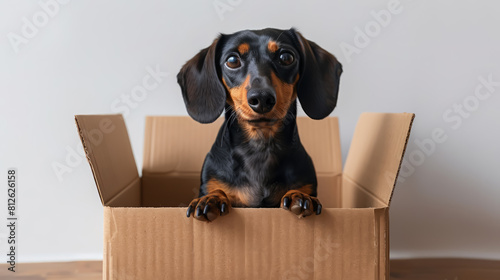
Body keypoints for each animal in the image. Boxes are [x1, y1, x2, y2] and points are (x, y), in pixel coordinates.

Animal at [178, 27, 342, 222]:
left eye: (286, 57)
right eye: (232, 60)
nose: (262, 98)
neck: (260, 147)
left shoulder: (307, 183)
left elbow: (301, 191)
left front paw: (300, 196)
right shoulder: (211, 181)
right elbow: (217, 190)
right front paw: (211, 199)